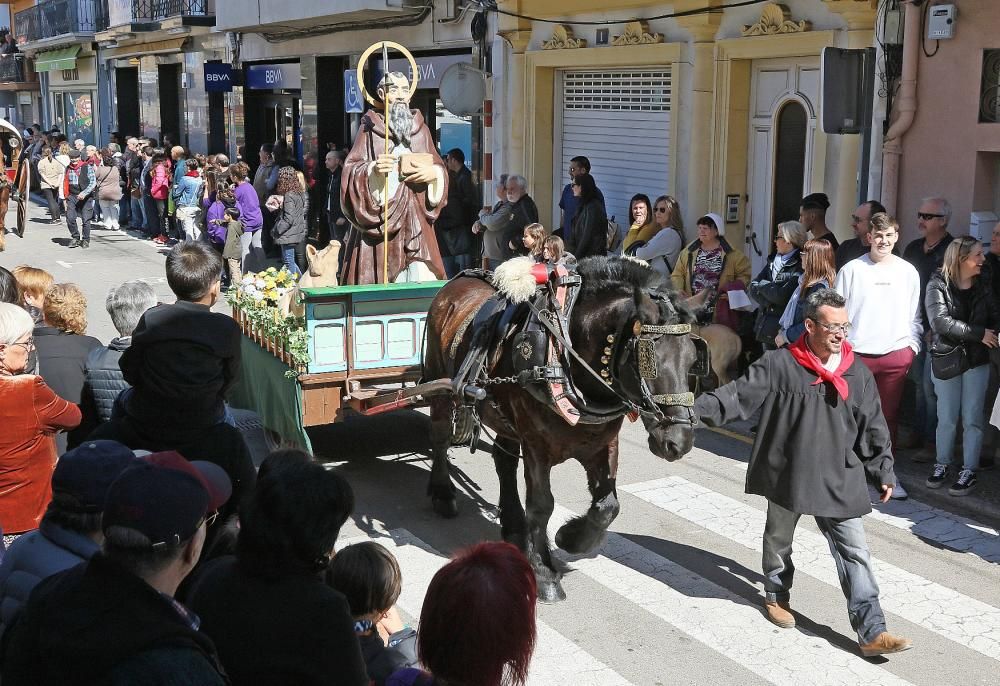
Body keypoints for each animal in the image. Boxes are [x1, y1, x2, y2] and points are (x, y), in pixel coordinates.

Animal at [424, 258, 704, 600]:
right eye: (650, 360)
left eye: (693, 359)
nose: (679, 441)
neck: (566, 355)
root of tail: (458, 280)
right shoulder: (536, 445)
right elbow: (542, 504)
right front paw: (544, 572)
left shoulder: (603, 443)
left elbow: (607, 506)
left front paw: (569, 537)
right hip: (439, 385)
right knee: (439, 438)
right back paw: (442, 492)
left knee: (504, 463)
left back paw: (514, 525)